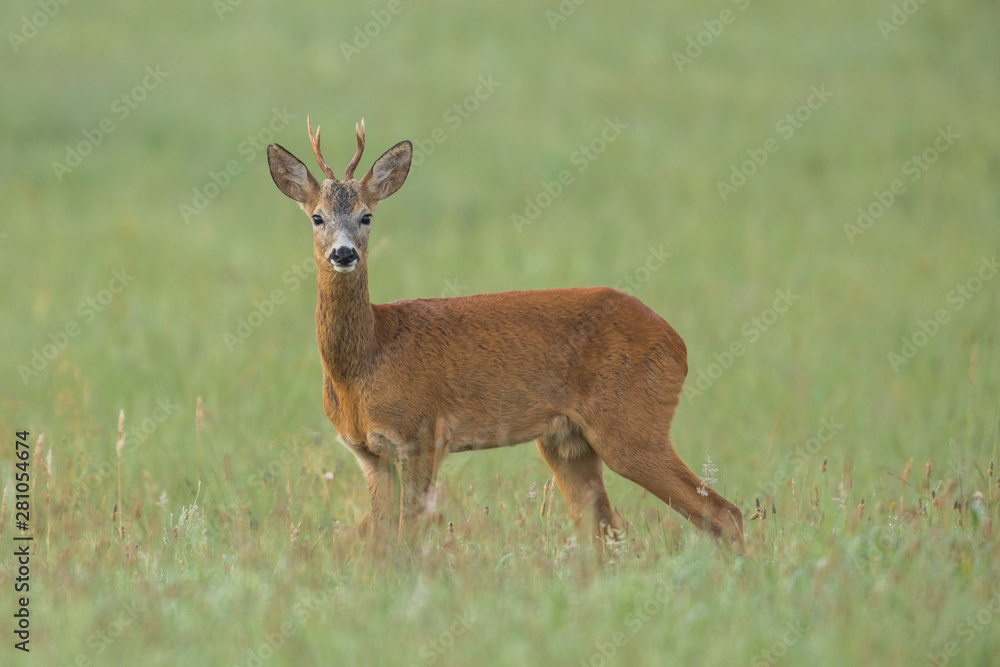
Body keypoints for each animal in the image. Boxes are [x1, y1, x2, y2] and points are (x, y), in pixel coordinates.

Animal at [265, 118, 744, 550]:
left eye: (366, 216)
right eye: (317, 217)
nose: (343, 254)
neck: (366, 360)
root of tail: (678, 343)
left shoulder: (422, 434)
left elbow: (409, 536)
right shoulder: (371, 455)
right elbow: (382, 542)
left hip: (632, 424)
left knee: (723, 512)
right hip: (568, 442)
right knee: (606, 527)